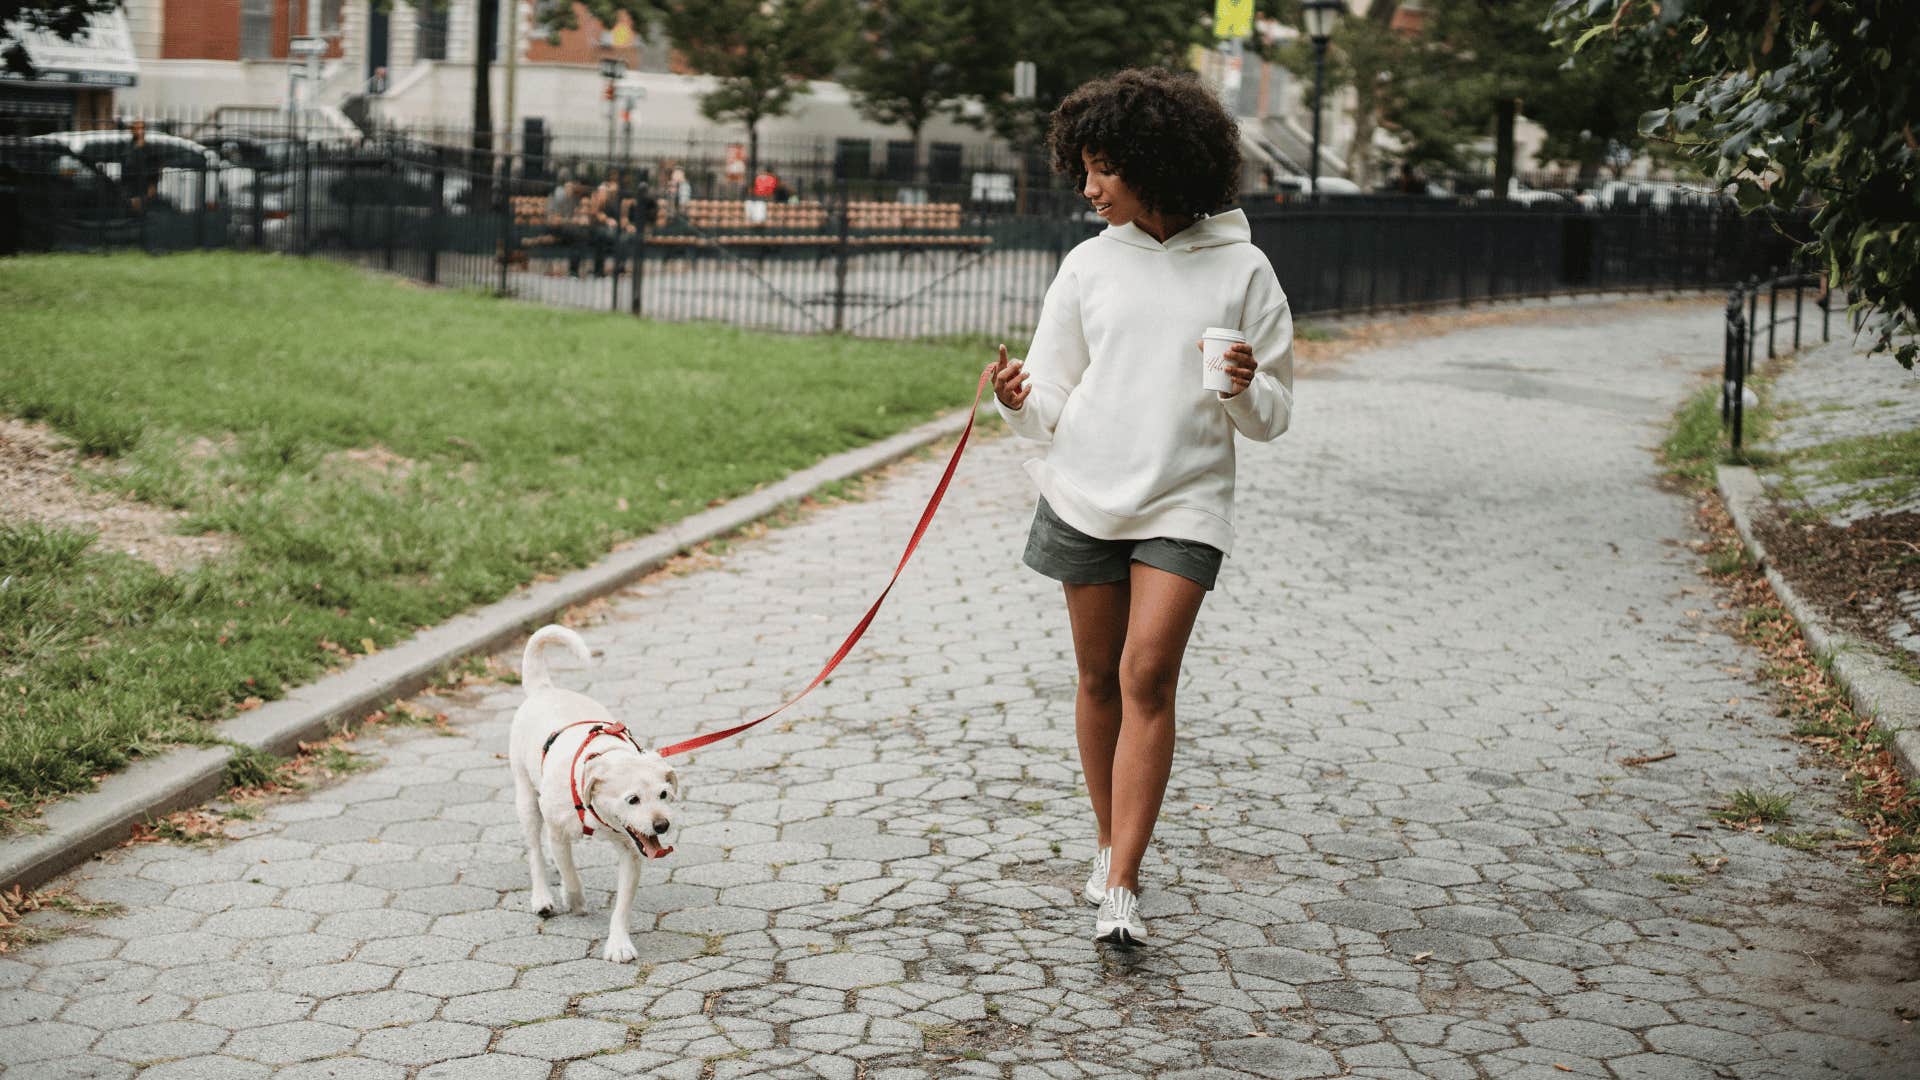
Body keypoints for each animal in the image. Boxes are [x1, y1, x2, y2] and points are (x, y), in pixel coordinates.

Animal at [510, 622, 683, 957]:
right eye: (632, 799)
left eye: (664, 795)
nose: (661, 825)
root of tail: (545, 689)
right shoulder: (558, 833)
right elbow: (569, 871)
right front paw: (574, 899)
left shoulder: (632, 850)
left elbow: (623, 905)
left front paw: (619, 945)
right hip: (526, 798)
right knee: (535, 850)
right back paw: (542, 896)